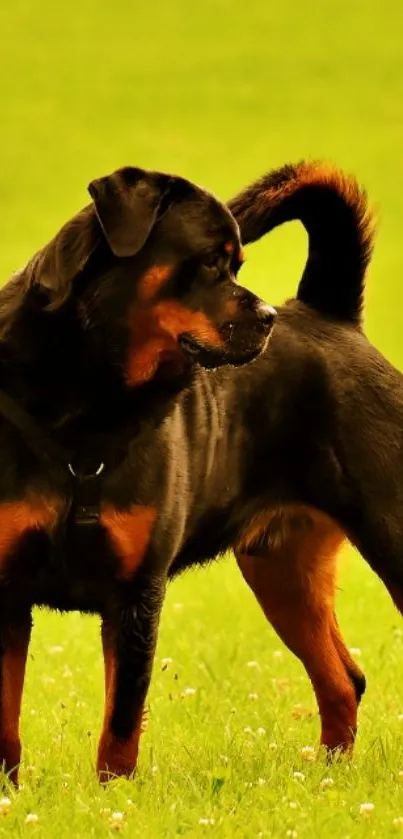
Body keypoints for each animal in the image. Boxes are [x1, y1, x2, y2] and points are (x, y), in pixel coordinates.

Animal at [0, 166, 276, 788]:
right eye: (211, 262)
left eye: (238, 263)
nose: (270, 316)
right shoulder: (4, 584)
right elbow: (4, 719)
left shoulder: (138, 593)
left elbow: (122, 719)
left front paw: (113, 797)